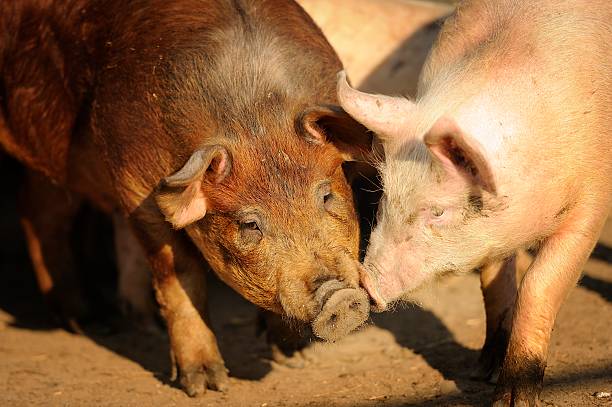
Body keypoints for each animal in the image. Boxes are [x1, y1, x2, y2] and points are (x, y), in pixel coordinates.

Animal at [0, 0, 372, 396]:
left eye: (327, 195)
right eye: (250, 224)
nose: (338, 295)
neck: (254, 113)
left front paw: (295, 357)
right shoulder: (137, 187)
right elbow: (178, 275)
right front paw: (206, 385)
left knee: (40, 208)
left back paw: (98, 320)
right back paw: (88, 322)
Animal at [338, 1, 612, 406]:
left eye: (438, 211)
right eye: (387, 193)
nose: (366, 283)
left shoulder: (591, 201)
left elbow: (539, 283)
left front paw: (510, 400)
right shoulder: (495, 234)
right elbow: (494, 284)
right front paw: (482, 372)